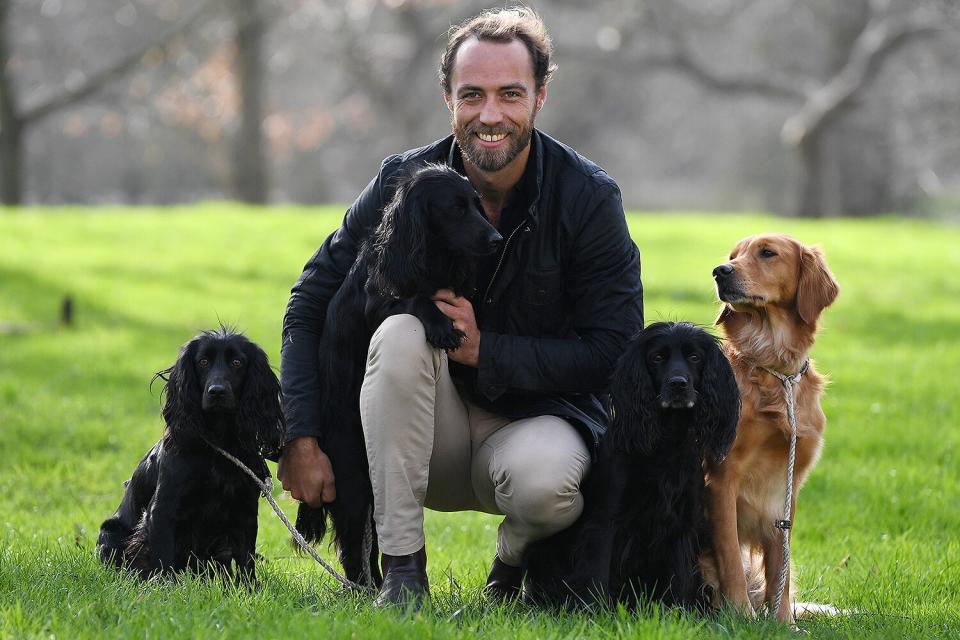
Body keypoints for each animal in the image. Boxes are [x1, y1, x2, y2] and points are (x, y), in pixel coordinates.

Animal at [98, 330, 284, 580]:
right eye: (203, 362)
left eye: (237, 363)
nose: (217, 391)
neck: (218, 442)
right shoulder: (162, 510)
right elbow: (163, 560)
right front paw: (165, 586)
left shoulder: (245, 510)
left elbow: (247, 561)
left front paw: (250, 588)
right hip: (110, 535)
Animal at [292, 164, 502, 584]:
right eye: (455, 208)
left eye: (477, 204)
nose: (496, 238)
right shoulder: (377, 301)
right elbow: (413, 299)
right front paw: (439, 325)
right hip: (353, 477)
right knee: (353, 546)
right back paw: (364, 588)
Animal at [520, 322, 740, 612]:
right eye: (657, 357)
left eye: (694, 357)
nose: (678, 384)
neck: (665, 442)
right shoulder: (605, 518)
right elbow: (597, 569)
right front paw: (594, 610)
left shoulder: (683, 523)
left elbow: (682, 574)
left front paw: (681, 611)